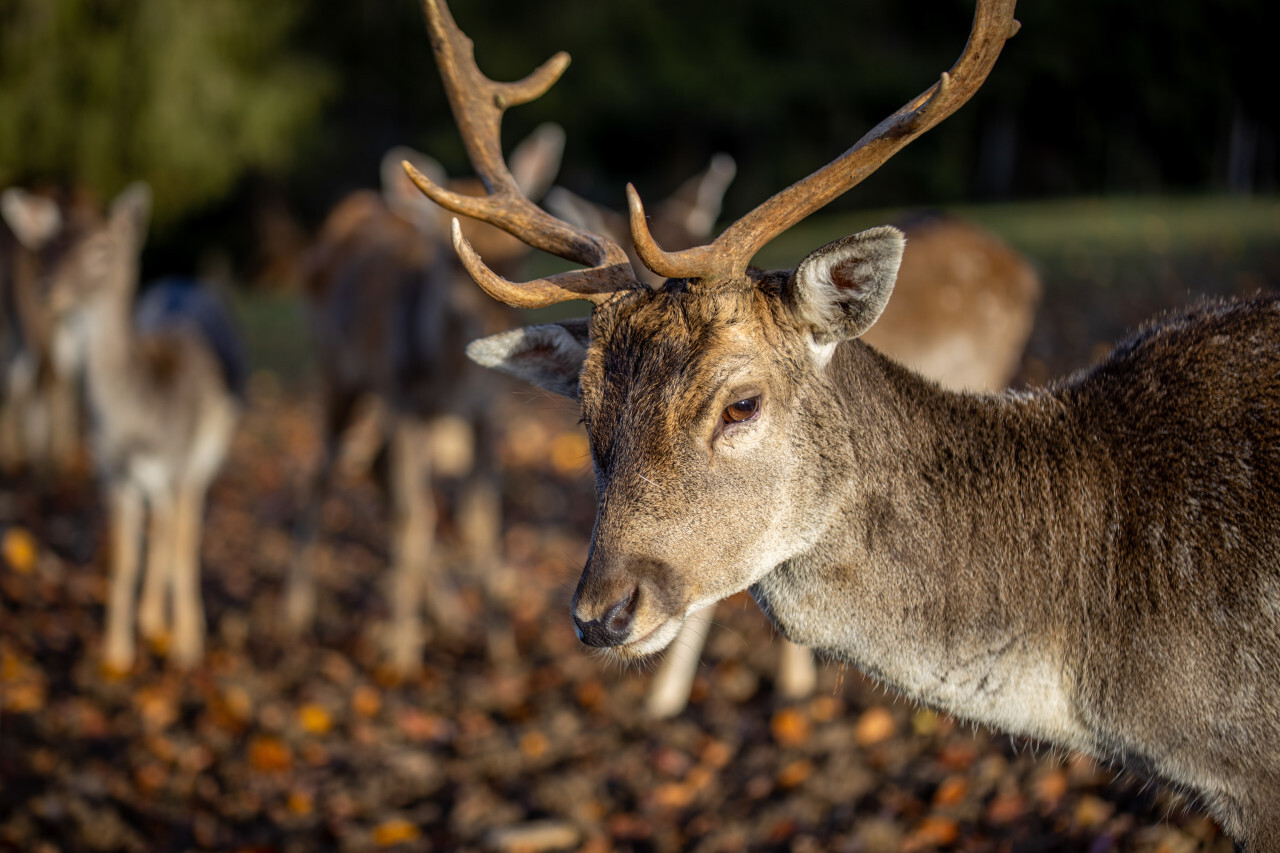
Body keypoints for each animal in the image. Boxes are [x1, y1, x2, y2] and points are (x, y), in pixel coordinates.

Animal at [6, 183, 244, 666]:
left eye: (101, 249)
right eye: (48, 248)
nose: (46, 290)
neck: (139, 419)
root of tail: (188, 280)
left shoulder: (178, 460)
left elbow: (178, 540)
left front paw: (185, 647)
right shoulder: (111, 472)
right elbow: (123, 556)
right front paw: (117, 654)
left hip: (207, 453)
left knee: (185, 527)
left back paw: (178, 625)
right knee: (162, 524)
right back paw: (151, 619)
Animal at [294, 124, 565, 671]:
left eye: (519, 255)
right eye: (451, 256)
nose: (501, 323)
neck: (448, 381)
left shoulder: (486, 414)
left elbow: (481, 521)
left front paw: (502, 653)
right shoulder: (402, 402)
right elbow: (411, 516)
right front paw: (401, 655)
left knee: (375, 467)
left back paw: (449, 616)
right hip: (337, 369)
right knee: (326, 469)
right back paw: (294, 611)